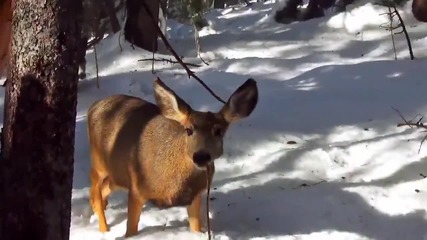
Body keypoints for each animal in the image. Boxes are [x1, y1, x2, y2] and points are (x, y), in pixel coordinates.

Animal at [87, 76, 258, 236]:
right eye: (188, 130)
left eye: (218, 131)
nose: (201, 156)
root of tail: (94, 105)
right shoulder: (137, 187)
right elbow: (131, 230)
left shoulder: (195, 195)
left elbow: (195, 227)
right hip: (99, 161)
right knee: (95, 186)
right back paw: (103, 228)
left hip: (118, 173)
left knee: (104, 187)